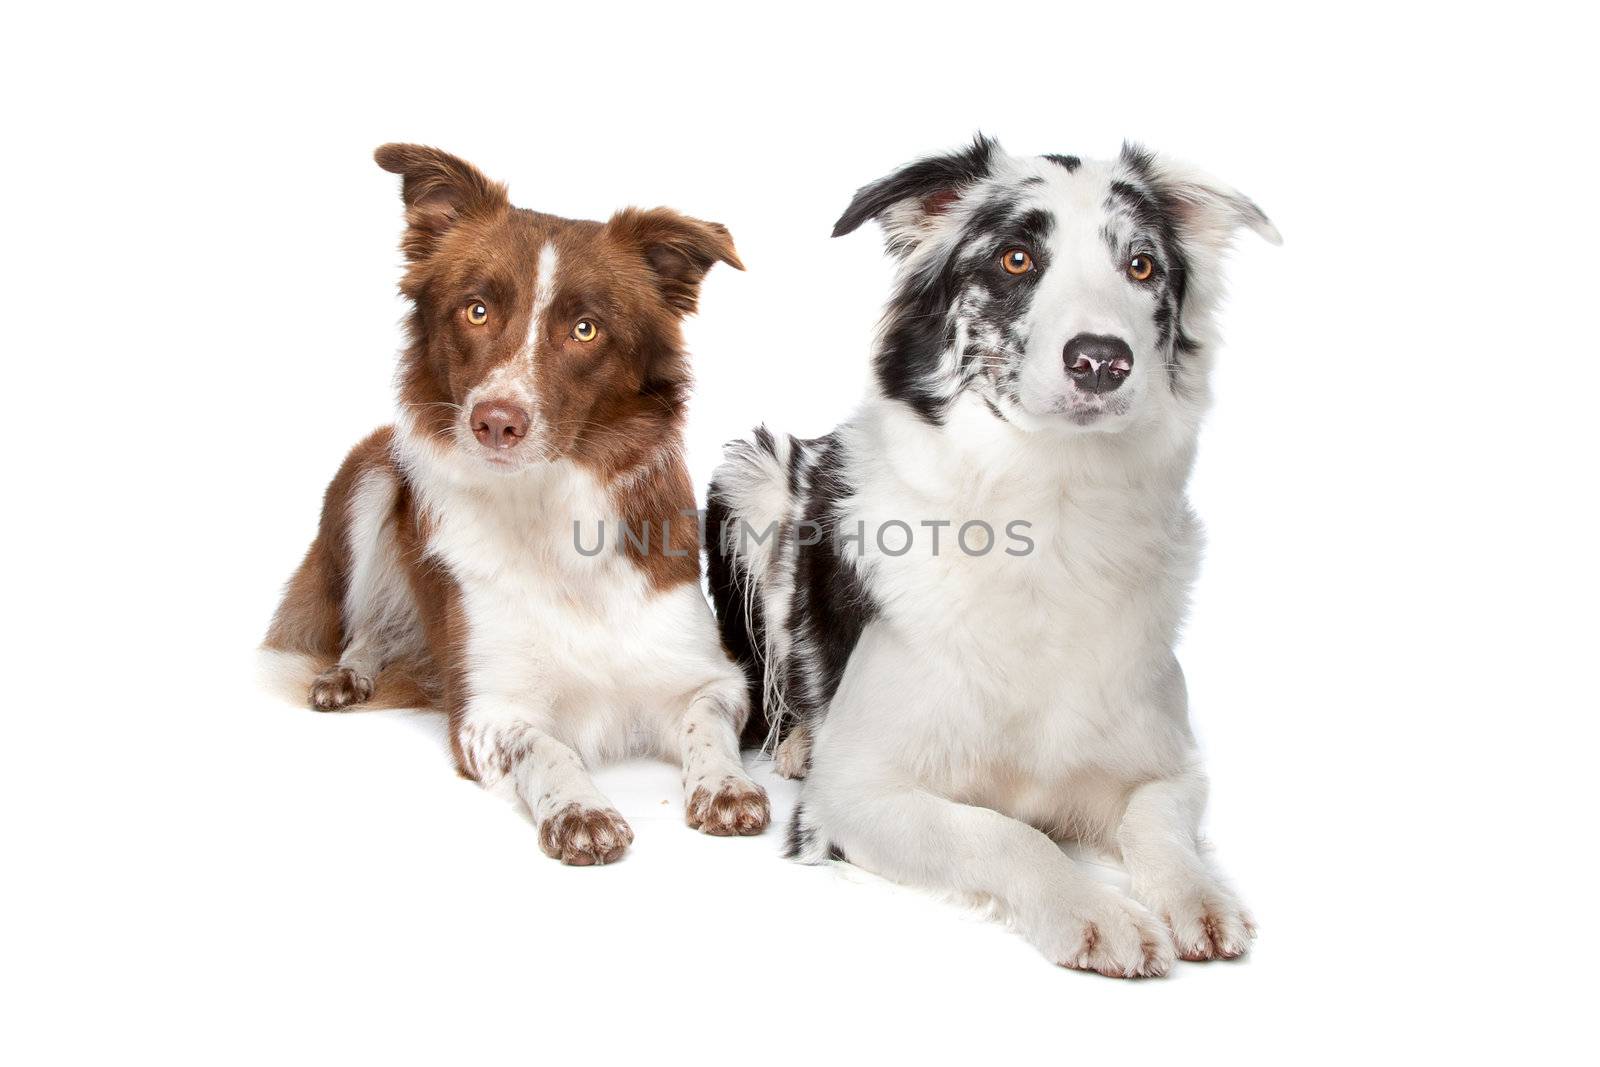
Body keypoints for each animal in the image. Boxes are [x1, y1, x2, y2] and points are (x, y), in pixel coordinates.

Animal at [264, 146, 768, 863]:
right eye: (476, 311)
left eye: (585, 329)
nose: (496, 421)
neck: (549, 506)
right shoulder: (487, 710)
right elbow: (546, 747)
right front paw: (582, 808)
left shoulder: (711, 675)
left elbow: (709, 722)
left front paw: (727, 787)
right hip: (369, 473)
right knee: (364, 625)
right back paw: (346, 675)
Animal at [707, 137, 1280, 979]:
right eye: (1016, 259)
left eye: (1141, 266)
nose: (1102, 360)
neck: (1050, 513)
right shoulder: (853, 797)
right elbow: (1009, 832)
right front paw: (1092, 911)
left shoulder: (1170, 763)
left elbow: (1159, 822)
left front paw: (1195, 894)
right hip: (749, 474)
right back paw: (799, 739)